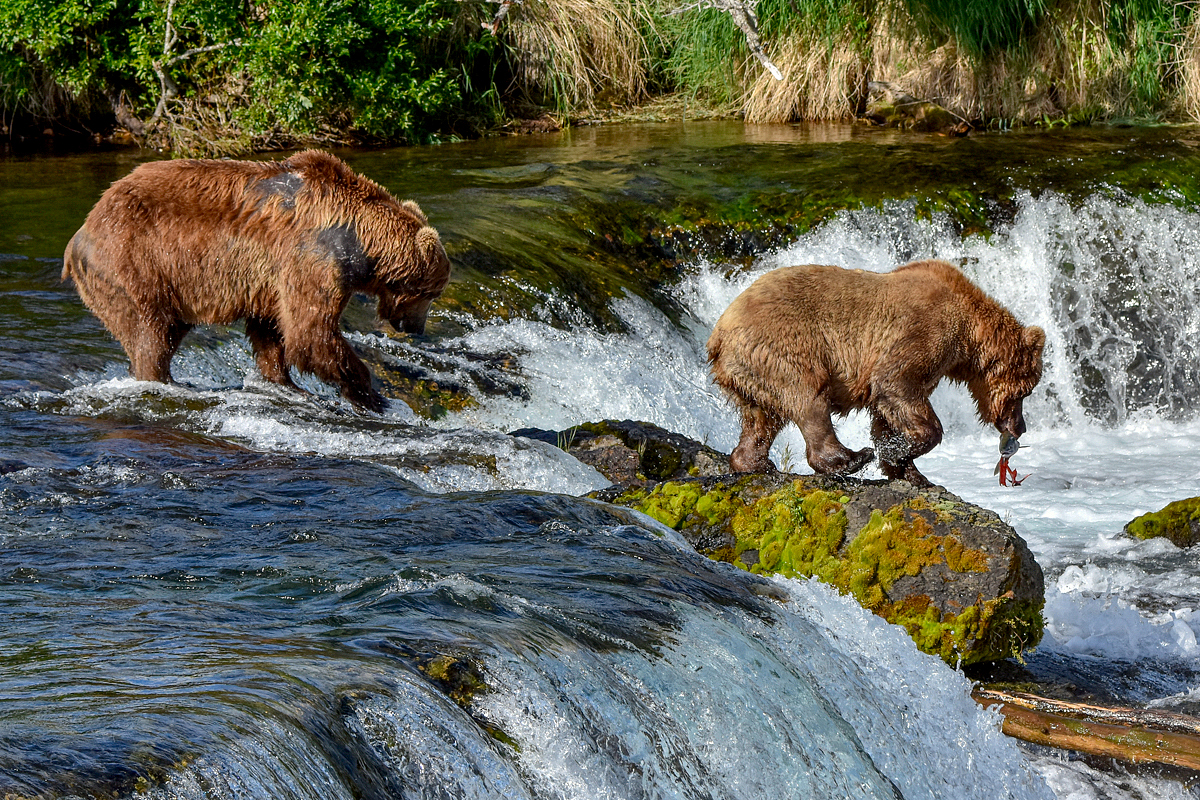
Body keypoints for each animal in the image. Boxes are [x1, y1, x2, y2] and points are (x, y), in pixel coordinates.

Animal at [59, 148, 451, 412]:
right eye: (431, 292)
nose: (415, 328)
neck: (357, 241)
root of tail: (81, 231)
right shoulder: (312, 258)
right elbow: (311, 333)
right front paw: (373, 395)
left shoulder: (270, 280)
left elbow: (272, 330)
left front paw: (284, 382)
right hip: (134, 262)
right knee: (150, 331)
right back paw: (161, 380)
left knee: (166, 331)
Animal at [705, 261, 1046, 489]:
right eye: (1026, 392)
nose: (1020, 427)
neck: (969, 336)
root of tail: (719, 332)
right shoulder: (924, 333)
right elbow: (896, 384)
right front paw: (897, 452)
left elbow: (888, 413)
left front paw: (910, 470)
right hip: (785, 343)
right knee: (808, 398)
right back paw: (849, 458)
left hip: (752, 371)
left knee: (762, 418)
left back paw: (754, 463)